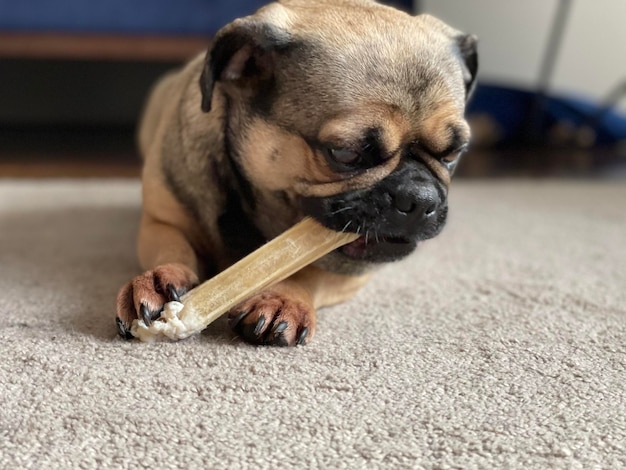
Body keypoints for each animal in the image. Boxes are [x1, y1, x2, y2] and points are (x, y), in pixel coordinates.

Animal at [116, 0, 478, 346]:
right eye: (345, 153)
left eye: (454, 154)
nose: (420, 198)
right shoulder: (162, 223)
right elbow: (172, 248)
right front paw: (161, 278)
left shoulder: (352, 270)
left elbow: (307, 272)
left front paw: (283, 297)